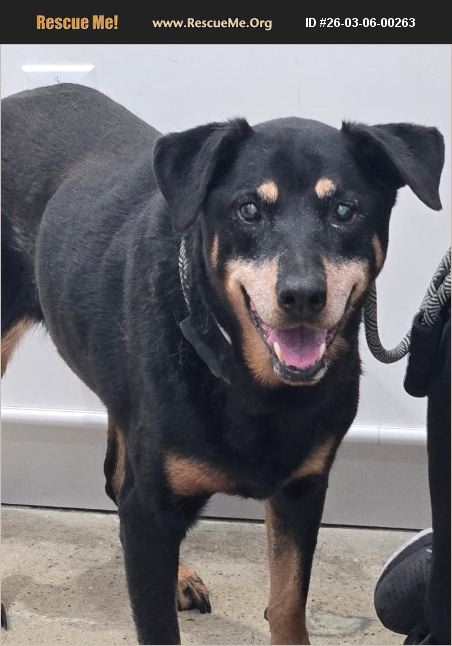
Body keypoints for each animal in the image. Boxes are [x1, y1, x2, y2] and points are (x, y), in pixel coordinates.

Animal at [1, 83, 444, 644]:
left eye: (345, 209)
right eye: (249, 209)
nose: (302, 296)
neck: (250, 382)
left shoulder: (302, 490)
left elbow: (288, 604)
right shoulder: (152, 512)